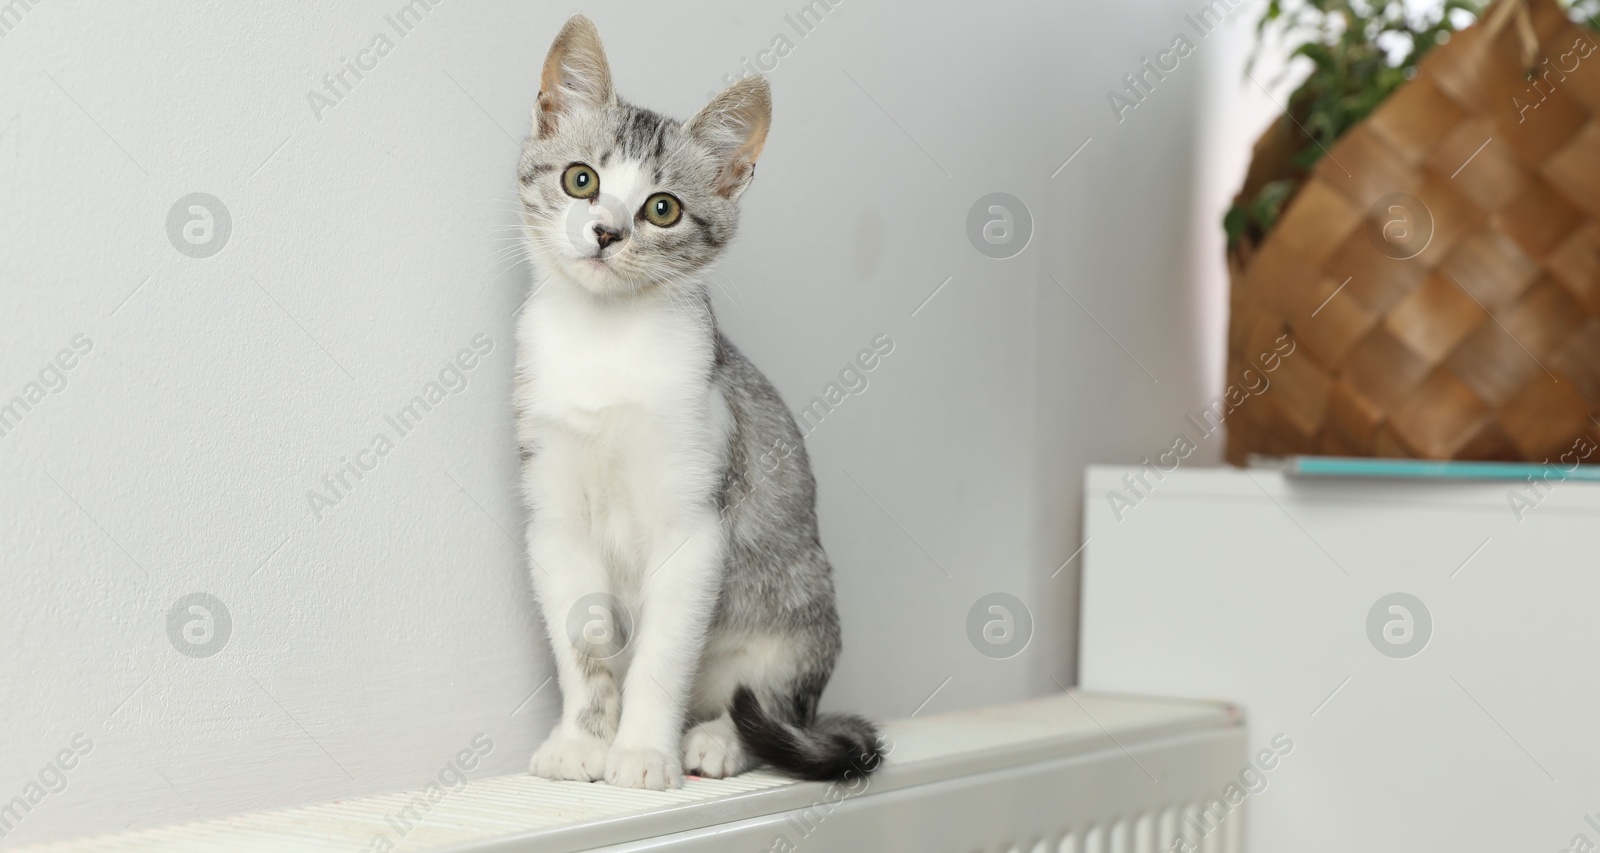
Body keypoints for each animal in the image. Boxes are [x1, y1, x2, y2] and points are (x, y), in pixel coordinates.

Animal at [512, 13, 883, 787]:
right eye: (580, 179)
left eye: (663, 208)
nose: (607, 232)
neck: (605, 341)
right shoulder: (554, 519)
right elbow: (584, 644)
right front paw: (584, 739)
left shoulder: (695, 522)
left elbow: (661, 654)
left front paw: (641, 752)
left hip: (797, 618)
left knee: (772, 708)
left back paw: (715, 740)